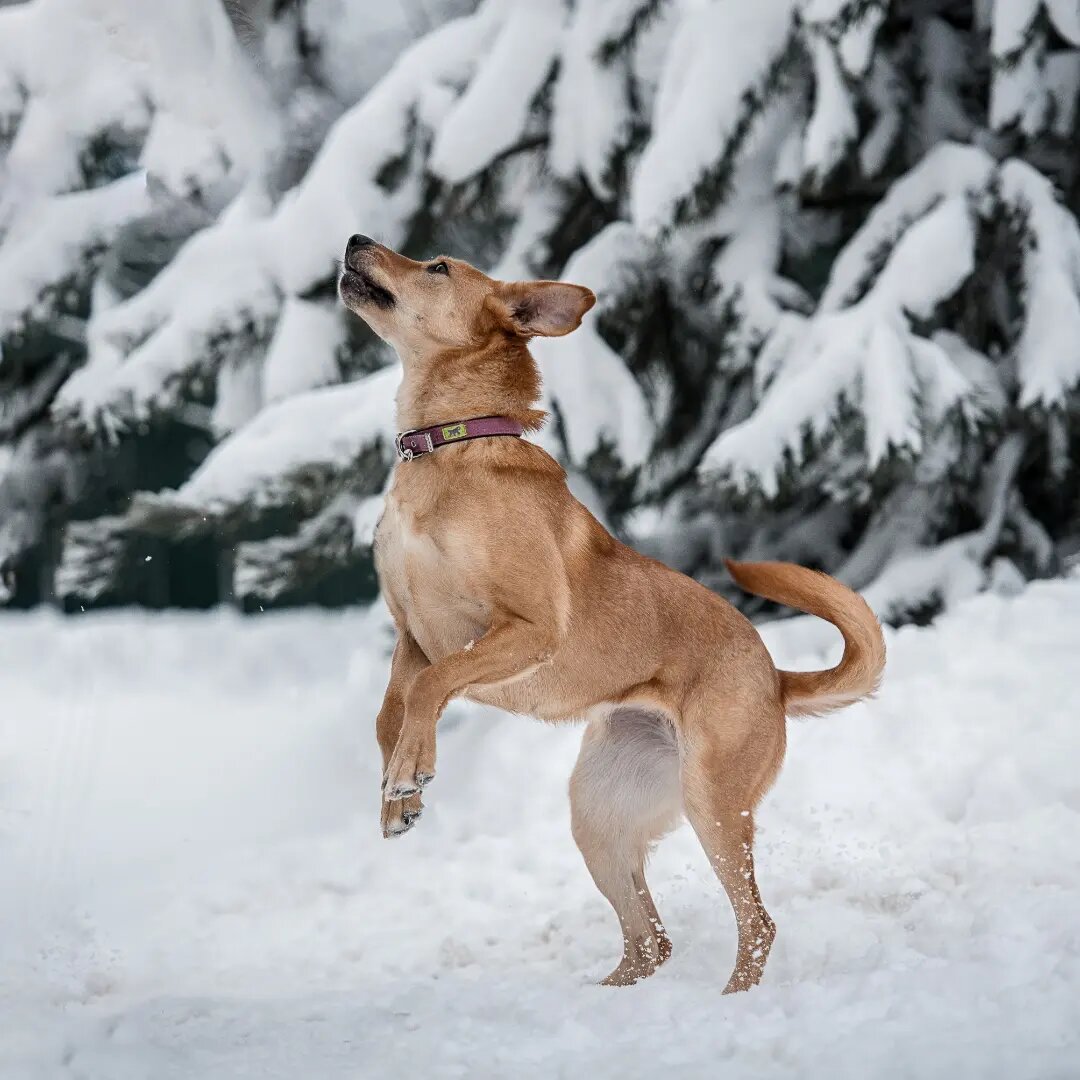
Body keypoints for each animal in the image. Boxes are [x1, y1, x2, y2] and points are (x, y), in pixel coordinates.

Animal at [336, 236, 885, 993]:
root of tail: (774, 678)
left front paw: (409, 772)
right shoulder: (412, 634)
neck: (451, 446)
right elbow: (392, 711)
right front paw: (400, 793)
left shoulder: (527, 628)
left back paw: (731, 1001)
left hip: (713, 803)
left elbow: (431, 688)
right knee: (651, 941)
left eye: (438, 267)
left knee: (757, 925)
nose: (356, 241)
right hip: (599, 815)